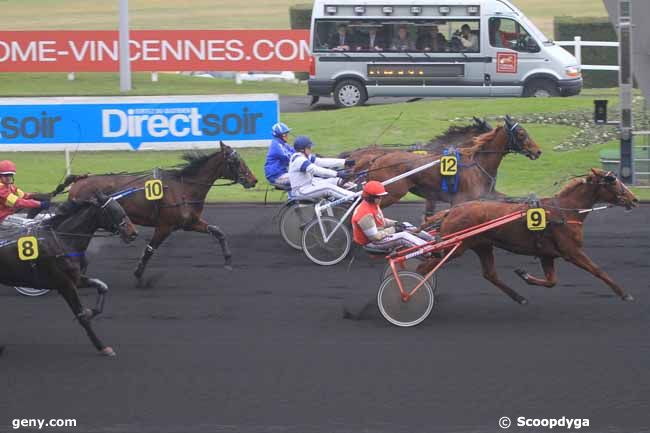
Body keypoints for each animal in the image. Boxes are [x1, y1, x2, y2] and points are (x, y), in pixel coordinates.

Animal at [0, 192, 138, 354]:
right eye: (115, 211)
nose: (133, 233)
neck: (62, 240)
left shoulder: (76, 279)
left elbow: (102, 287)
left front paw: (91, 311)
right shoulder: (64, 284)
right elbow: (81, 316)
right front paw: (102, 347)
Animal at [53, 142, 256, 284]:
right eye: (236, 161)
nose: (253, 180)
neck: (183, 188)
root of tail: (79, 181)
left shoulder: (190, 222)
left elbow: (218, 231)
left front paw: (228, 261)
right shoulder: (165, 226)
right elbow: (150, 249)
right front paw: (138, 275)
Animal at [364, 116, 540, 214]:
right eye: (521, 134)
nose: (538, 151)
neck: (478, 164)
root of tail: (377, 160)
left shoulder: (487, 194)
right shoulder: (460, 200)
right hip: (390, 193)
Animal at [416, 169, 636, 304]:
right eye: (613, 182)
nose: (634, 199)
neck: (564, 212)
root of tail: (451, 211)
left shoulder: (547, 254)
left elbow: (551, 281)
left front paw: (525, 275)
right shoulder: (571, 251)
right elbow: (597, 270)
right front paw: (624, 293)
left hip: (482, 245)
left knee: (490, 274)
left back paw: (519, 297)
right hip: (455, 246)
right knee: (423, 268)